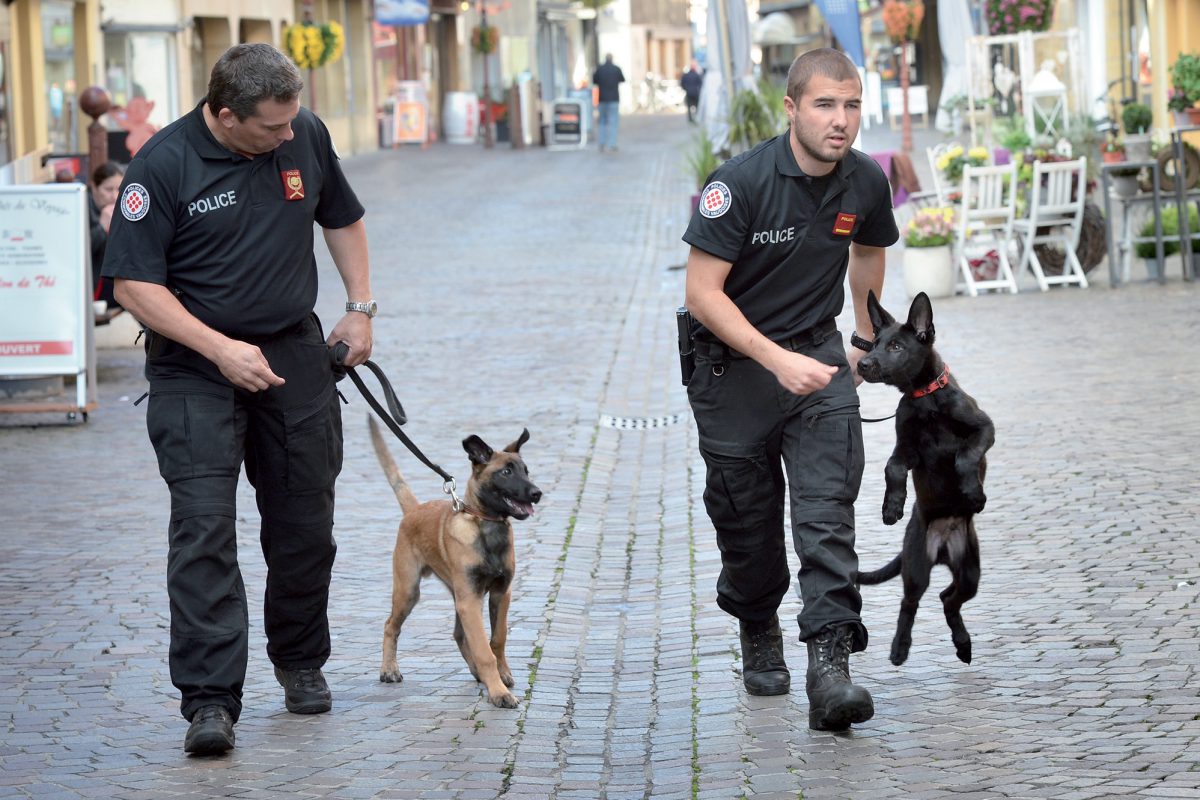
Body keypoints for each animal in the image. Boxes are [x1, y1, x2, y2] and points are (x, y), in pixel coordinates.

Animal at [367, 417, 542, 710]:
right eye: (506, 472)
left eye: (526, 471)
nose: (537, 493)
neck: (486, 526)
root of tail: (414, 509)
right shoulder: (470, 598)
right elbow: (484, 650)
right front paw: (498, 692)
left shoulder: (500, 593)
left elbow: (497, 639)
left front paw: (502, 675)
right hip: (410, 590)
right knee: (391, 625)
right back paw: (389, 669)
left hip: (458, 595)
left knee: (459, 634)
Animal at [859, 291, 998, 666]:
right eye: (874, 343)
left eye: (895, 347)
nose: (863, 364)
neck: (925, 398)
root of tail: (943, 548)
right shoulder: (906, 449)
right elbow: (891, 468)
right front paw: (892, 508)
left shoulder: (984, 429)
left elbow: (965, 457)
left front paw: (972, 493)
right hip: (917, 566)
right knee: (911, 602)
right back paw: (899, 648)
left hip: (970, 570)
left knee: (949, 598)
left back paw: (963, 644)